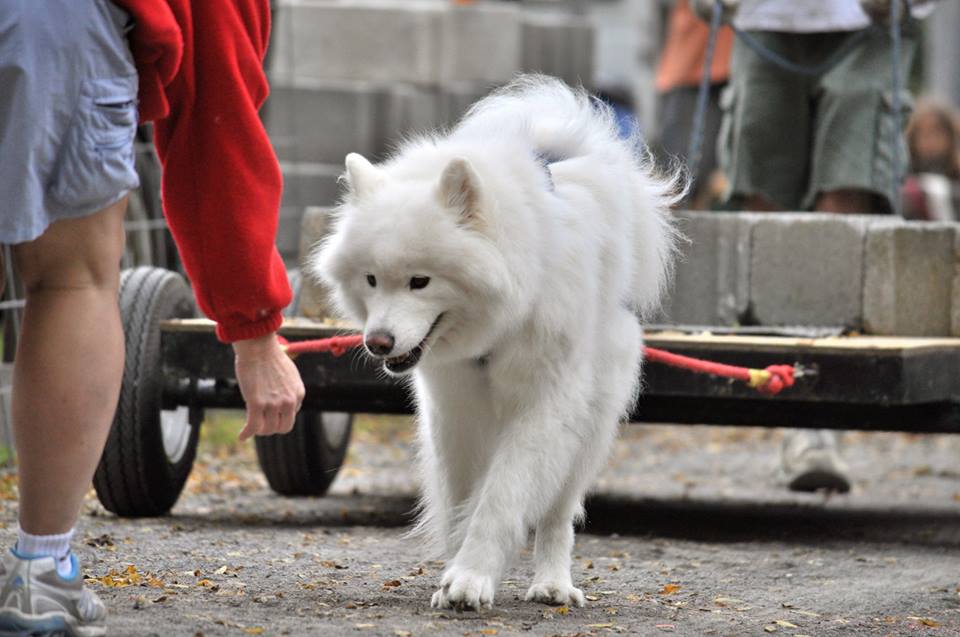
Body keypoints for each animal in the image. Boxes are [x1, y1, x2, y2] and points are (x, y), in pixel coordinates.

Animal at [312, 76, 680, 612]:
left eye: (421, 281)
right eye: (372, 279)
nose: (378, 343)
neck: (500, 323)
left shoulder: (543, 406)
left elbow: (503, 496)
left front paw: (471, 578)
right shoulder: (455, 409)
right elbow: (462, 499)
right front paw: (454, 571)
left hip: (590, 427)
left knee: (558, 514)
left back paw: (552, 585)